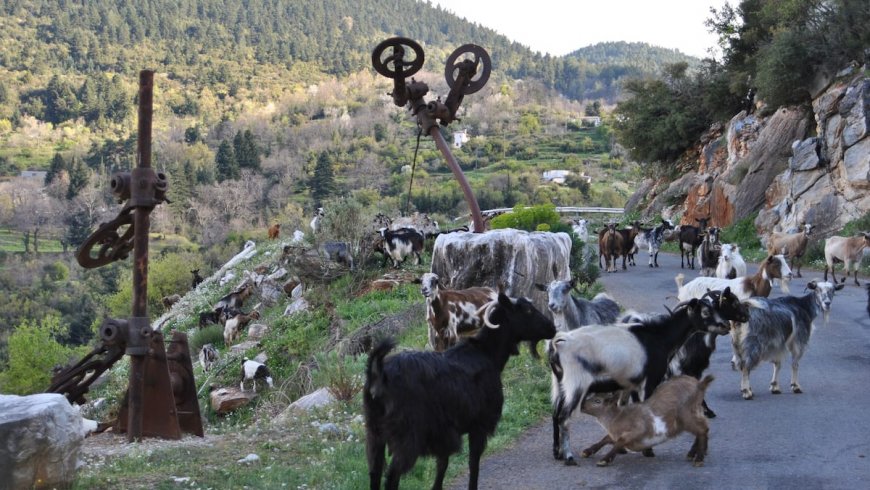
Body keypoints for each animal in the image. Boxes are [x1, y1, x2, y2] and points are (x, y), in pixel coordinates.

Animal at [362, 292, 556, 488]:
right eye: (528, 310)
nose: (552, 328)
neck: (486, 353)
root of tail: (379, 372)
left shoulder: (444, 434)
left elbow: (442, 466)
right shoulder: (478, 425)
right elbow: (473, 464)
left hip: (374, 433)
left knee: (374, 473)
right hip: (408, 435)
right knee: (392, 475)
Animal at [584, 376, 720, 468]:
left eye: (597, 401)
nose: (582, 405)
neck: (617, 417)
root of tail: (699, 385)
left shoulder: (637, 429)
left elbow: (619, 442)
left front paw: (604, 460)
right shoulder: (616, 434)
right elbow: (605, 439)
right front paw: (587, 451)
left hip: (687, 415)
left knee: (702, 430)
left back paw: (699, 458)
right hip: (695, 412)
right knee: (703, 429)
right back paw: (694, 453)